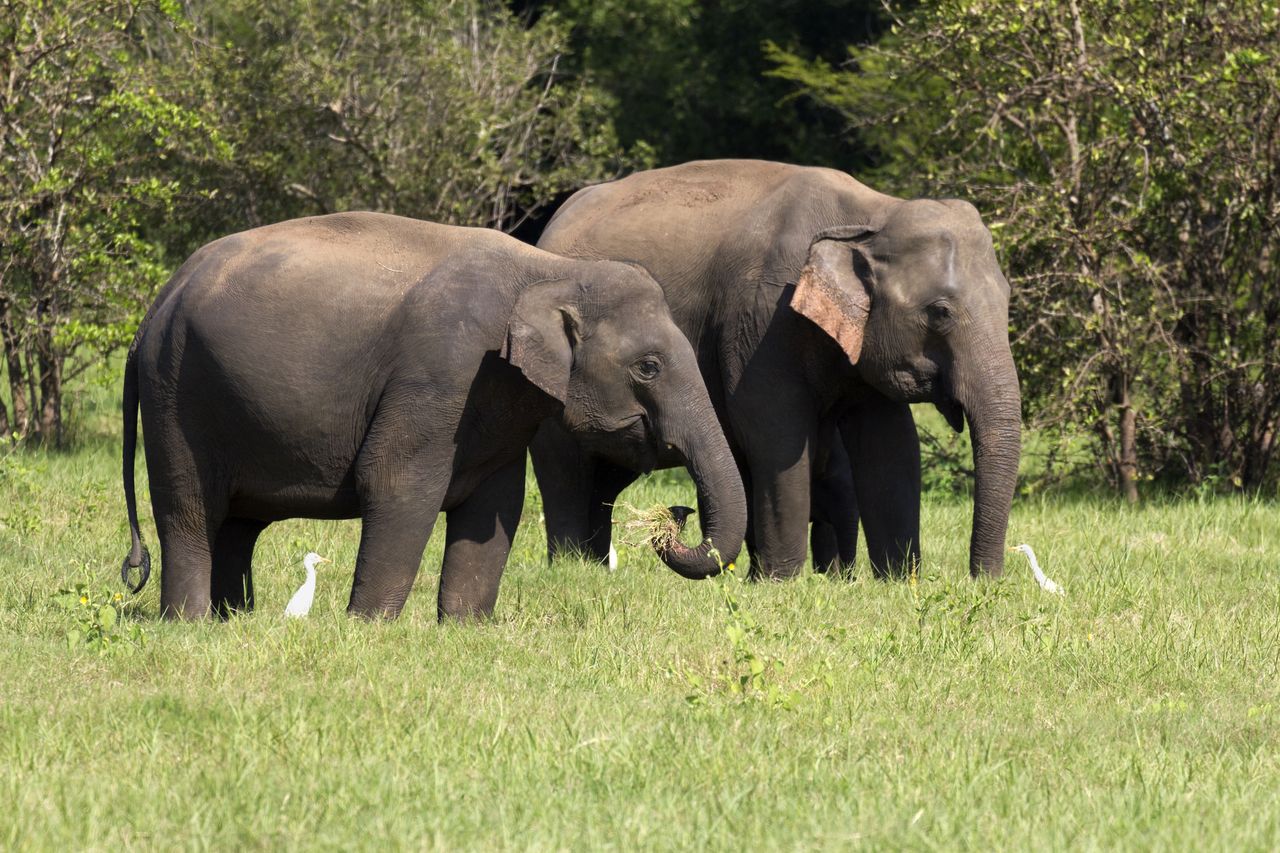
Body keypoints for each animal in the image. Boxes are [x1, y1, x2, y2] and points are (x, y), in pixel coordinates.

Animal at [117, 208, 747, 614]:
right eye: (649, 367)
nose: (674, 516)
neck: (551, 268)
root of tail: (152, 310)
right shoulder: (442, 372)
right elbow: (396, 484)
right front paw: (368, 628)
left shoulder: (497, 400)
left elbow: (497, 506)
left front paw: (465, 628)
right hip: (176, 396)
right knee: (189, 511)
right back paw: (190, 622)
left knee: (238, 524)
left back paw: (234, 619)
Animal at [527, 159, 1018, 578]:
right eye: (940, 312)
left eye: (1008, 298)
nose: (983, 580)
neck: (871, 214)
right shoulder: (761, 317)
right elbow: (773, 432)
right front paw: (779, 582)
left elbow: (892, 444)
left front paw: (899, 582)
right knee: (565, 470)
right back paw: (571, 569)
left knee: (605, 480)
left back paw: (593, 567)